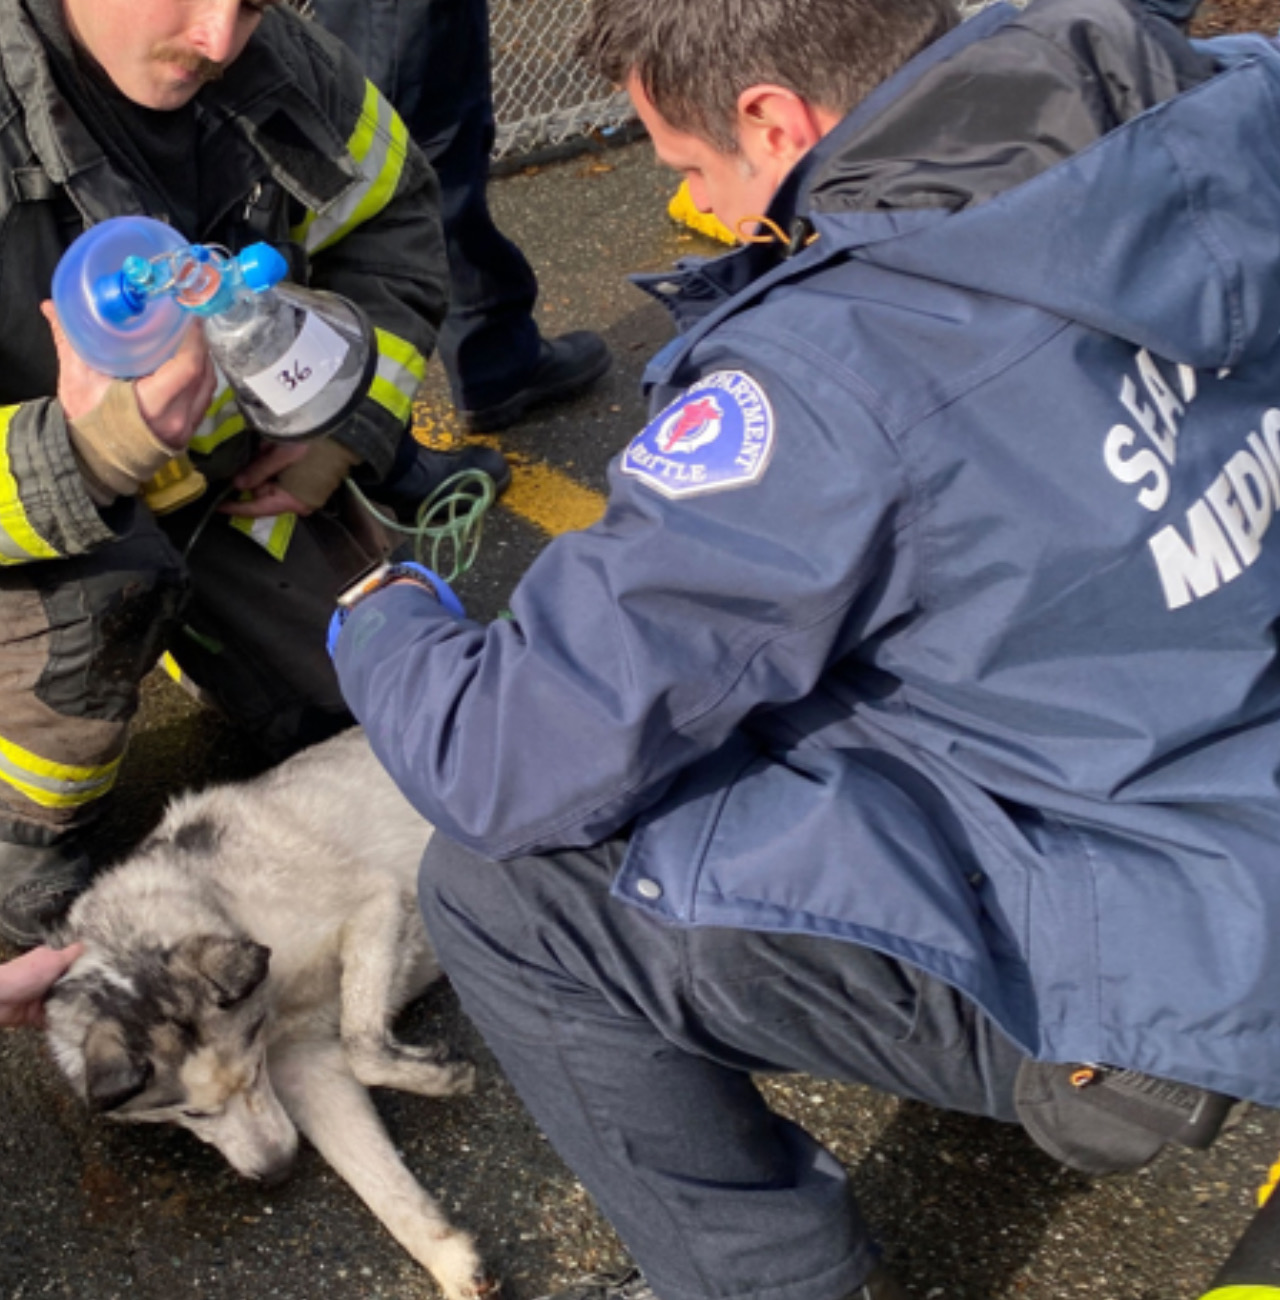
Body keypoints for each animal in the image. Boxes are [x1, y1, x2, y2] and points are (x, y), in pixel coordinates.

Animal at [43, 733, 493, 1300]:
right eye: (191, 1114)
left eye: (254, 1073)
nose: (278, 1171)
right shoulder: (306, 1067)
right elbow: (381, 1185)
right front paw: (449, 1259)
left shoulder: (375, 905)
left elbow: (363, 1048)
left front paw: (443, 1075)